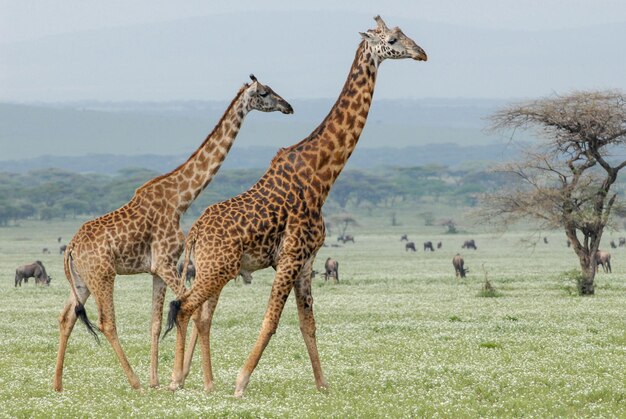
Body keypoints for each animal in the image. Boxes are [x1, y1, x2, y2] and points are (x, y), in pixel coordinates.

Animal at [51, 75, 292, 394]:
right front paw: (196, 380)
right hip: (103, 275)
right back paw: (134, 381)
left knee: (66, 317)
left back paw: (57, 384)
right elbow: (191, 310)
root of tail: (71, 247)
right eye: (264, 93)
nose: (288, 106)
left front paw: (159, 379)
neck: (180, 199)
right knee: (107, 322)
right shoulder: (166, 262)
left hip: (81, 280)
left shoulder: (157, 269)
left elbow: (155, 322)